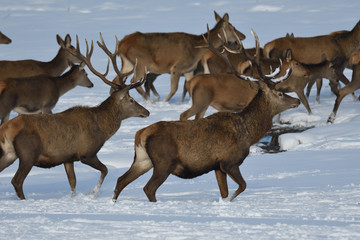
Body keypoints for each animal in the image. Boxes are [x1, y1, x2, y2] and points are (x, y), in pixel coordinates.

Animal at [0, 33, 150, 199]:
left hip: (9, 153)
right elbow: (105, 169)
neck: (102, 127)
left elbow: (73, 182)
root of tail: (5, 129)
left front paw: (74, 197)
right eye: (131, 100)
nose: (147, 112)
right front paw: (93, 193)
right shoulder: (87, 153)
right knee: (17, 181)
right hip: (28, 153)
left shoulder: (68, 158)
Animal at [112, 27, 300, 202]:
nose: (297, 100)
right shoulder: (229, 162)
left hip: (143, 159)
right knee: (148, 188)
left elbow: (224, 192)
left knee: (121, 180)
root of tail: (141, 134)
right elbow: (242, 186)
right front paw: (229, 201)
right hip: (163, 162)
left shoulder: (217, 166)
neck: (248, 133)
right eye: (280, 93)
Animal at [115, 10, 245, 102]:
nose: (243, 36)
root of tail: (121, 44)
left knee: (118, 79)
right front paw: (165, 102)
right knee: (134, 81)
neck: (197, 49)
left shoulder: (189, 69)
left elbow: (189, 85)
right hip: (141, 63)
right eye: (233, 28)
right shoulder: (177, 67)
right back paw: (149, 101)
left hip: (127, 63)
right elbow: (174, 89)